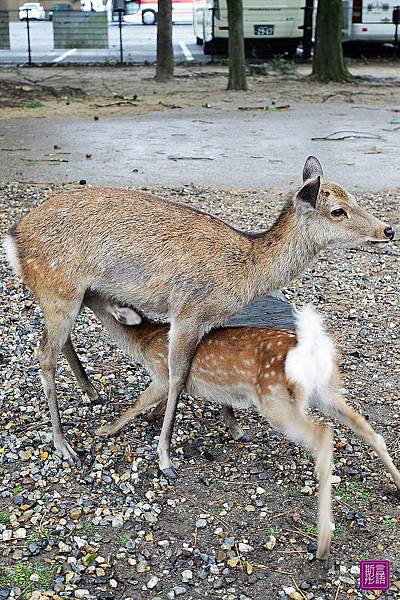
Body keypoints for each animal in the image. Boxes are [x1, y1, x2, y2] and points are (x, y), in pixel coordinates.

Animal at [4, 157, 396, 476]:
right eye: (337, 211)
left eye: (355, 199)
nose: (388, 229)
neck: (243, 274)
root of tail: (13, 238)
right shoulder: (188, 311)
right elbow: (178, 377)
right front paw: (165, 458)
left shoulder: (210, 320)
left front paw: (233, 426)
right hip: (59, 289)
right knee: (43, 353)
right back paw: (63, 444)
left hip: (73, 295)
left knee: (59, 342)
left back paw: (91, 392)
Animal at [69, 298, 400, 560]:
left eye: (97, 299)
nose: (80, 298)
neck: (144, 344)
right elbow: (197, 403)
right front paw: (229, 429)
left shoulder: (162, 374)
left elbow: (138, 403)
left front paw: (106, 429)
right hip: (328, 391)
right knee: (368, 429)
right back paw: (396, 484)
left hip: (275, 397)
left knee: (323, 434)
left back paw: (322, 544)